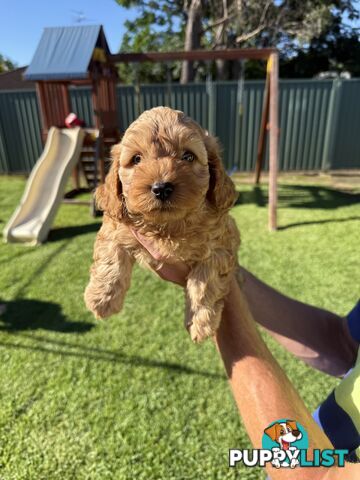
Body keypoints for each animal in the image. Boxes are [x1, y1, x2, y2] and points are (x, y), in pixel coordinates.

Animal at [84, 107, 240, 344]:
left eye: (188, 156)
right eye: (136, 159)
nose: (161, 188)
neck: (167, 226)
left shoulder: (222, 242)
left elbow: (205, 283)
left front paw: (200, 322)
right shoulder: (116, 226)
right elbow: (111, 258)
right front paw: (102, 299)